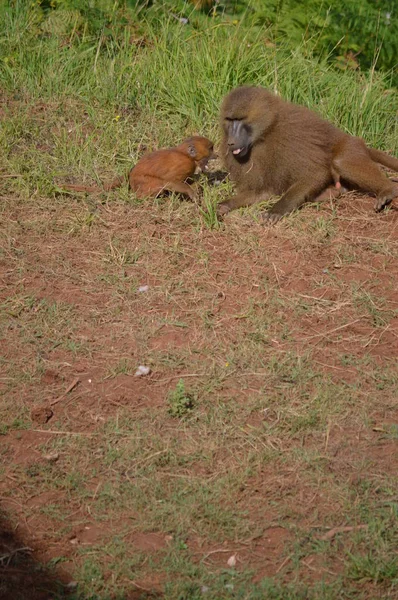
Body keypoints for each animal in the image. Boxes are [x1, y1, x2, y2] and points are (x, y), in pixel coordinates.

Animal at [61, 136, 216, 202]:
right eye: (210, 148)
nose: (217, 155)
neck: (185, 154)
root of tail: (131, 175)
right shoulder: (184, 164)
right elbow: (170, 181)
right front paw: (192, 193)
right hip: (144, 185)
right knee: (157, 184)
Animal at [219, 86, 398, 223]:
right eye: (230, 120)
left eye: (240, 120)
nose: (231, 142)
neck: (266, 132)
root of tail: (358, 142)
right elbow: (262, 192)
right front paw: (224, 205)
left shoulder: (290, 138)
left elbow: (315, 173)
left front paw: (277, 210)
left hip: (351, 148)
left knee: (340, 162)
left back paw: (388, 190)